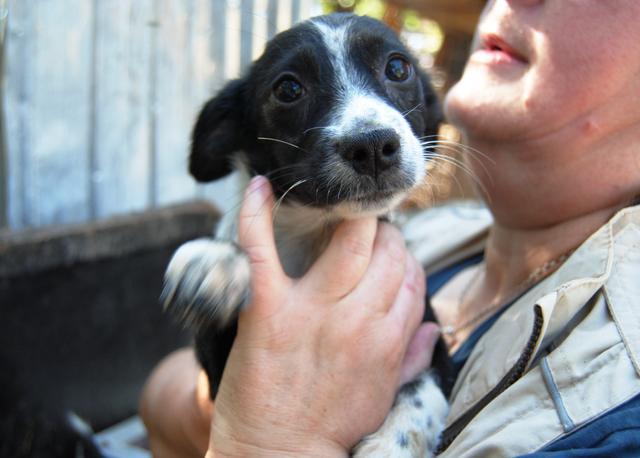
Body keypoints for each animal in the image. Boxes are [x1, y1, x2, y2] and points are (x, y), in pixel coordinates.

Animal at [162, 12, 448, 456]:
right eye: (289, 89)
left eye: (399, 68)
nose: (372, 145)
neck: (315, 234)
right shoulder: (214, 368)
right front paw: (216, 261)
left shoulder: (434, 341)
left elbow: (423, 390)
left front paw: (392, 441)